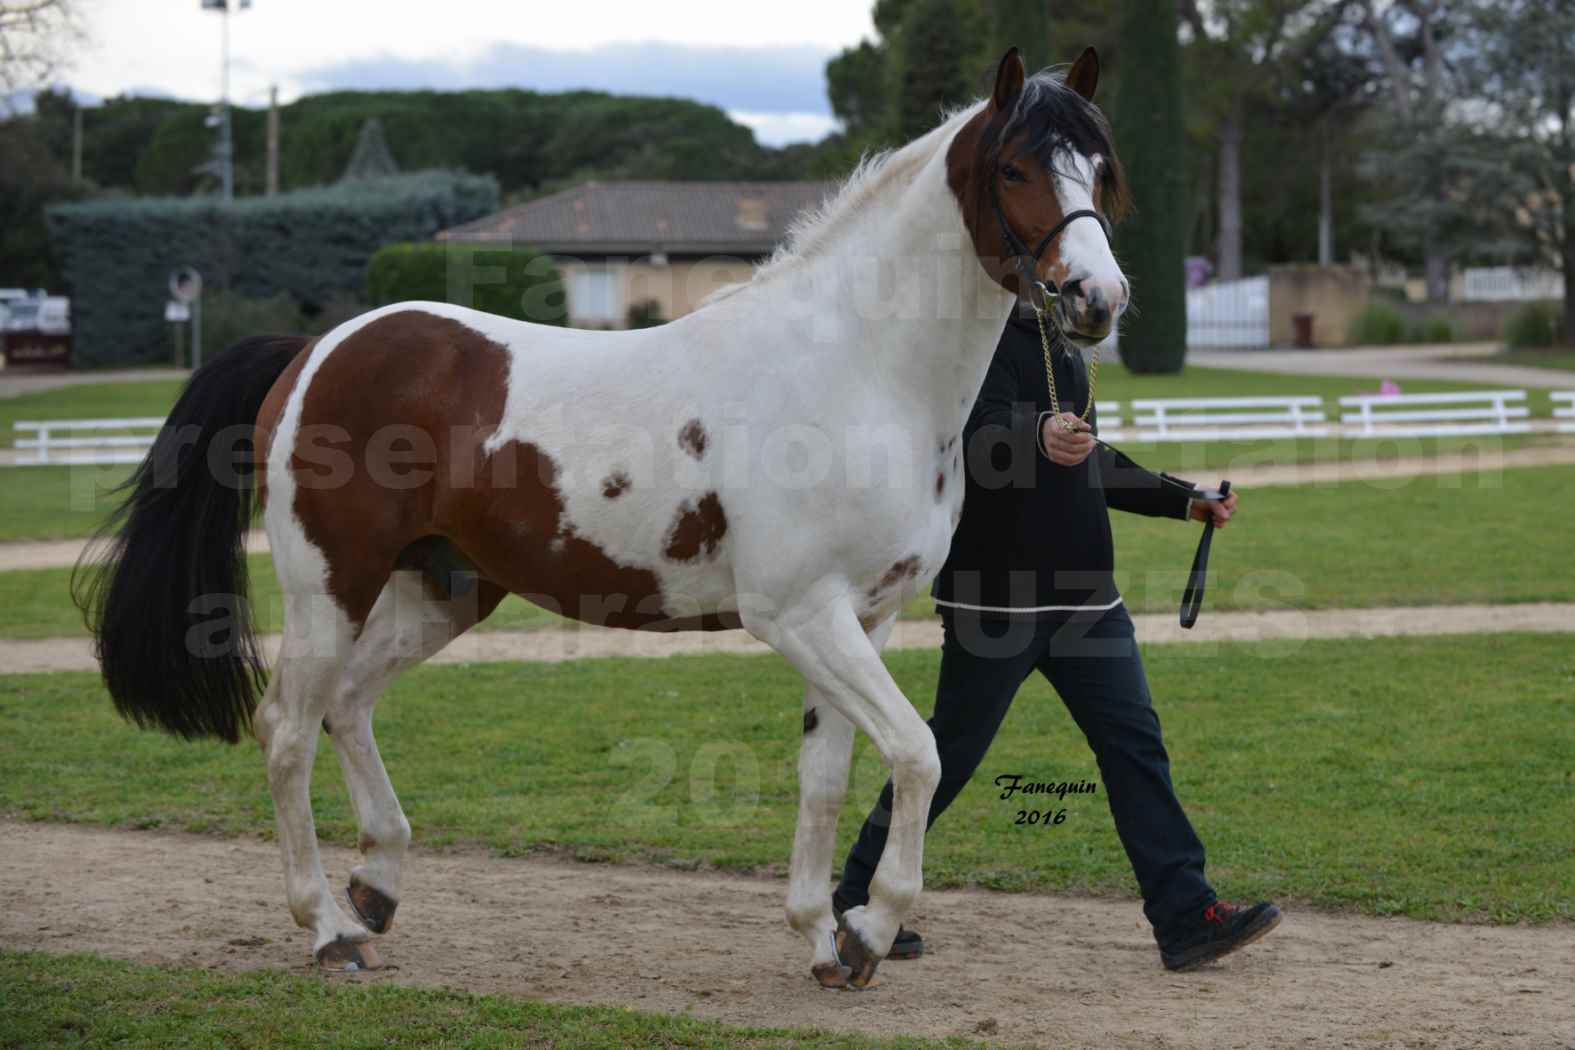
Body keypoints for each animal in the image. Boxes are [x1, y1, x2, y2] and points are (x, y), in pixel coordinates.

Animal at [79, 45, 1127, 988]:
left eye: (1099, 166)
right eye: (1014, 167)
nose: (1097, 299)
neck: (856, 369)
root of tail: (313, 350)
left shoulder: (859, 618)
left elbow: (828, 777)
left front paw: (823, 942)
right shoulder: (799, 614)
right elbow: (917, 752)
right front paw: (869, 930)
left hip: (442, 590)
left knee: (348, 704)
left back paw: (376, 885)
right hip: (328, 583)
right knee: (288, 728)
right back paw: (331, 931)